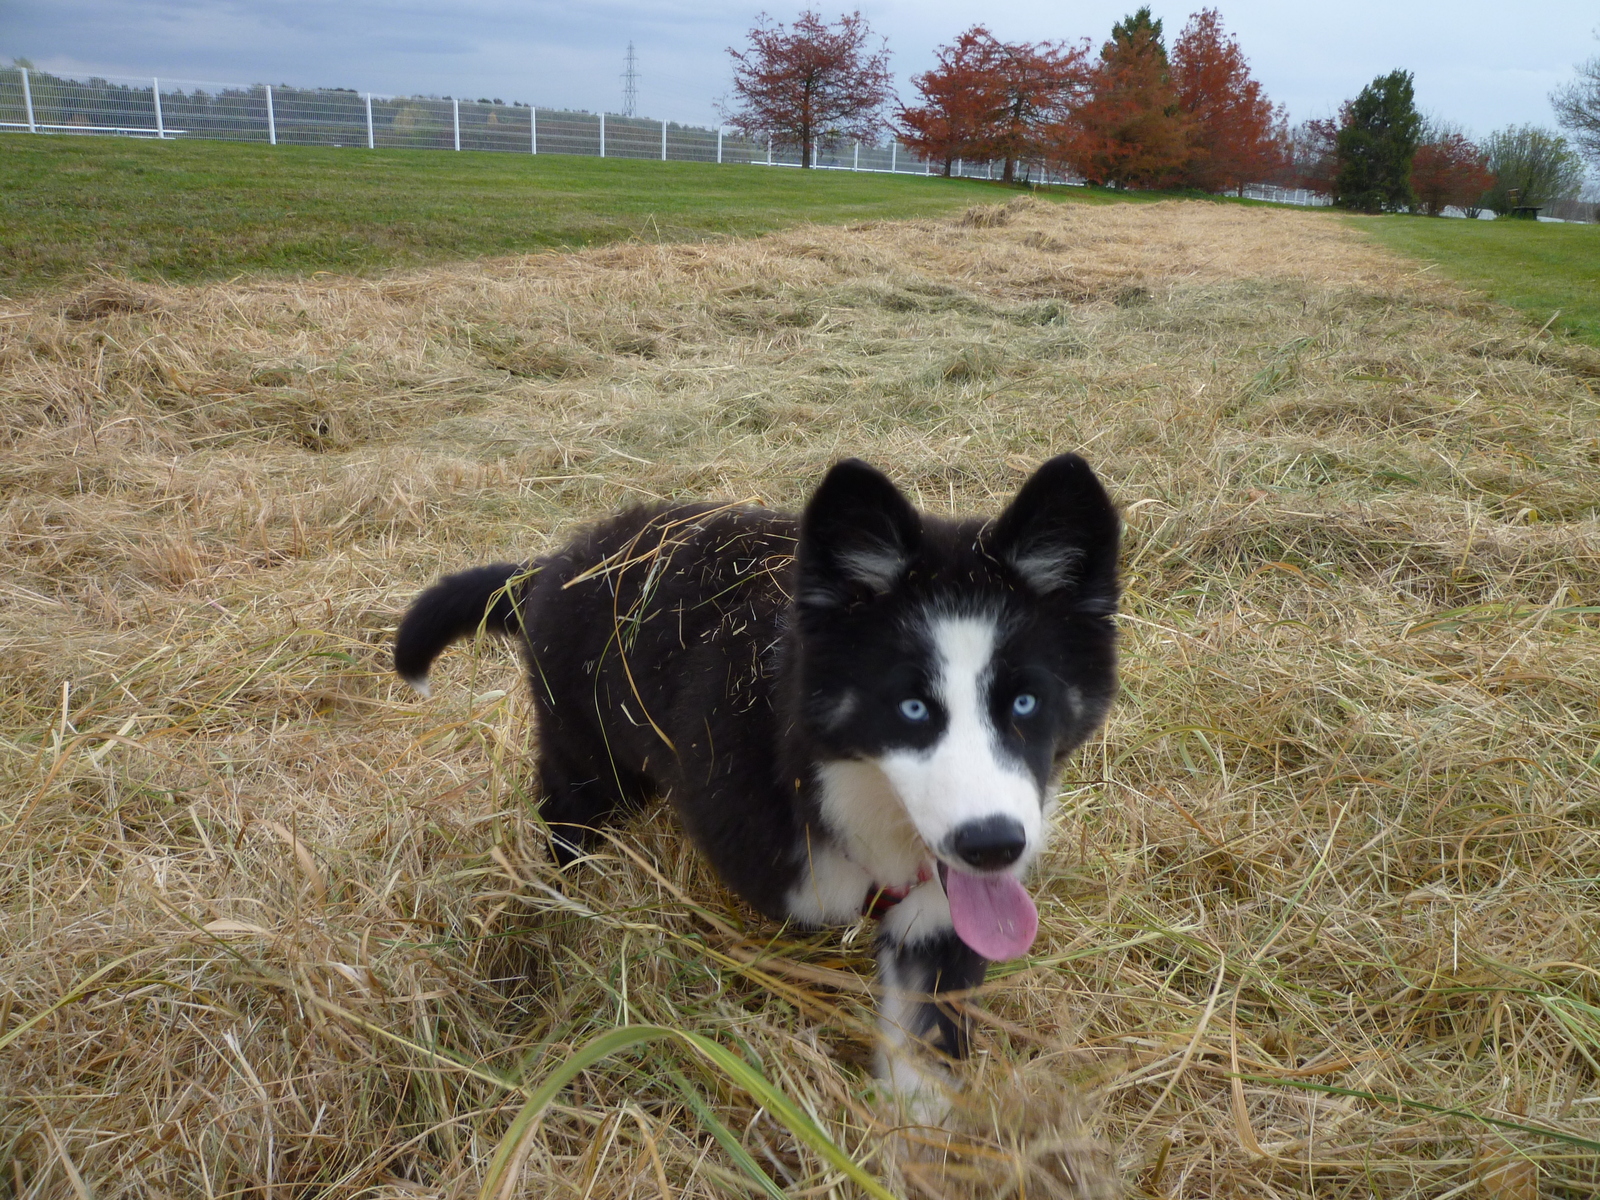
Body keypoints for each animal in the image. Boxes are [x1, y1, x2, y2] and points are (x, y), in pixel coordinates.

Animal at [393, 454, 1120, 1113]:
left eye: (1025, 702)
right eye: (911, 708)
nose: (993, 846)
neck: (842, 792)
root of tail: (554, 565)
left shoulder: (939, 921)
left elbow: (923, 1061)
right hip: (587, 757)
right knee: (564, 814)